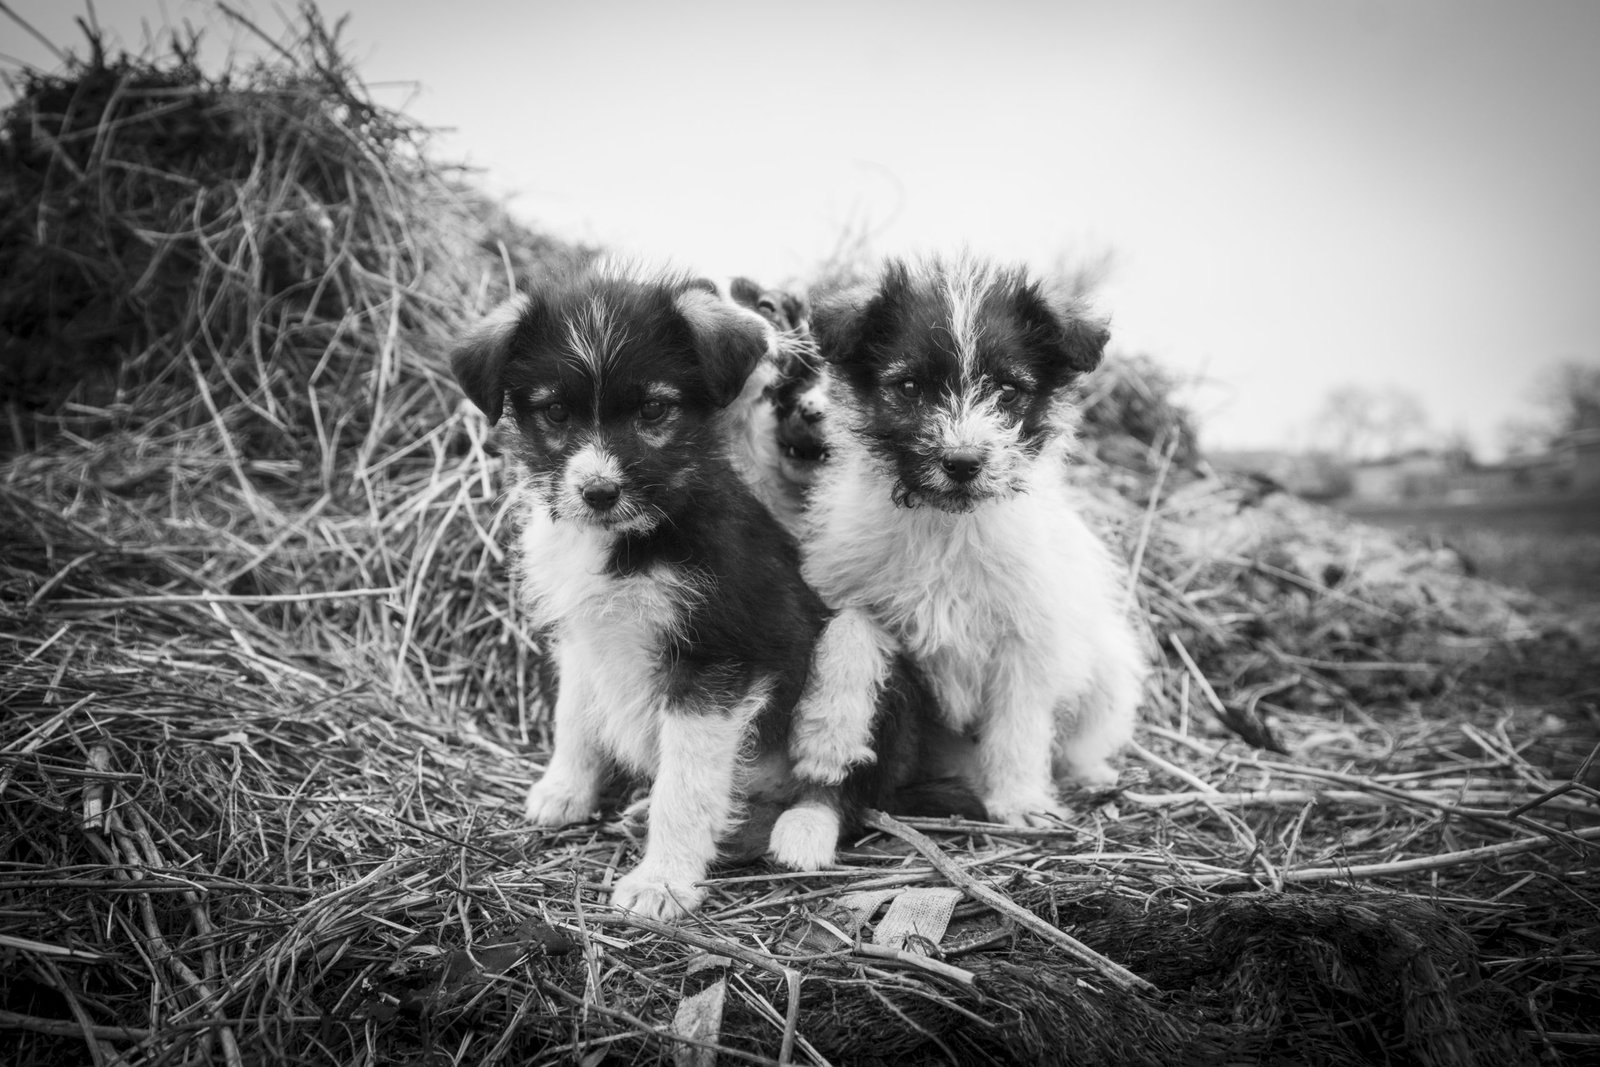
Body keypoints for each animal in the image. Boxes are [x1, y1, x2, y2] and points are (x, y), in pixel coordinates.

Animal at [786, 253, 1146, 826]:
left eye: (1007, 391)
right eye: (910, 388)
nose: (962, 462)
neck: (946, 527)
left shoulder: (1029, 638)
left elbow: (1020, 725)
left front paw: (1020, 800)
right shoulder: (844, 586)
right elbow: (849, 631)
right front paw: (827, 740)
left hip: (1108, 664)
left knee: (1080, 741)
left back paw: (1092, 777)